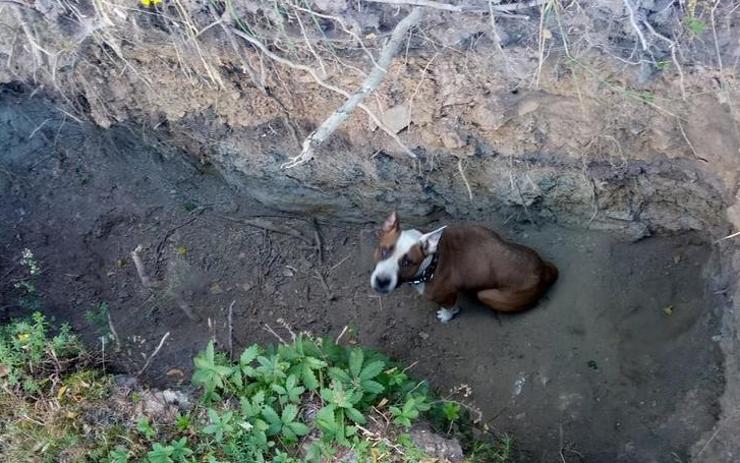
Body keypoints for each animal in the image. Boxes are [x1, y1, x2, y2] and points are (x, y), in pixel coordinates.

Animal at [372, 211, 556, 322]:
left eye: (408, 262)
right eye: (383, 251)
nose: (382, 281)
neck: (432, 263)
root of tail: (542, 271)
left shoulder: (446, 296)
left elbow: (449, 307)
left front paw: (447, 315)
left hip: (488, 295)